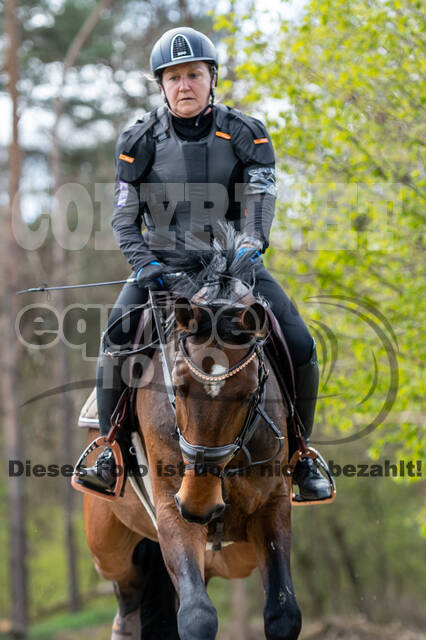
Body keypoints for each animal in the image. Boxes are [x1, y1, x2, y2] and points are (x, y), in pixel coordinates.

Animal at [81, 242, 302, 636]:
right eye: (179, 386)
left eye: (249, 394)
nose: (197, 504)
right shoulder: (171, 507)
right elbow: (198, 617)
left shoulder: (272, 506)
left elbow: (283, 613)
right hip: (110, 550)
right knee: (127, 605)